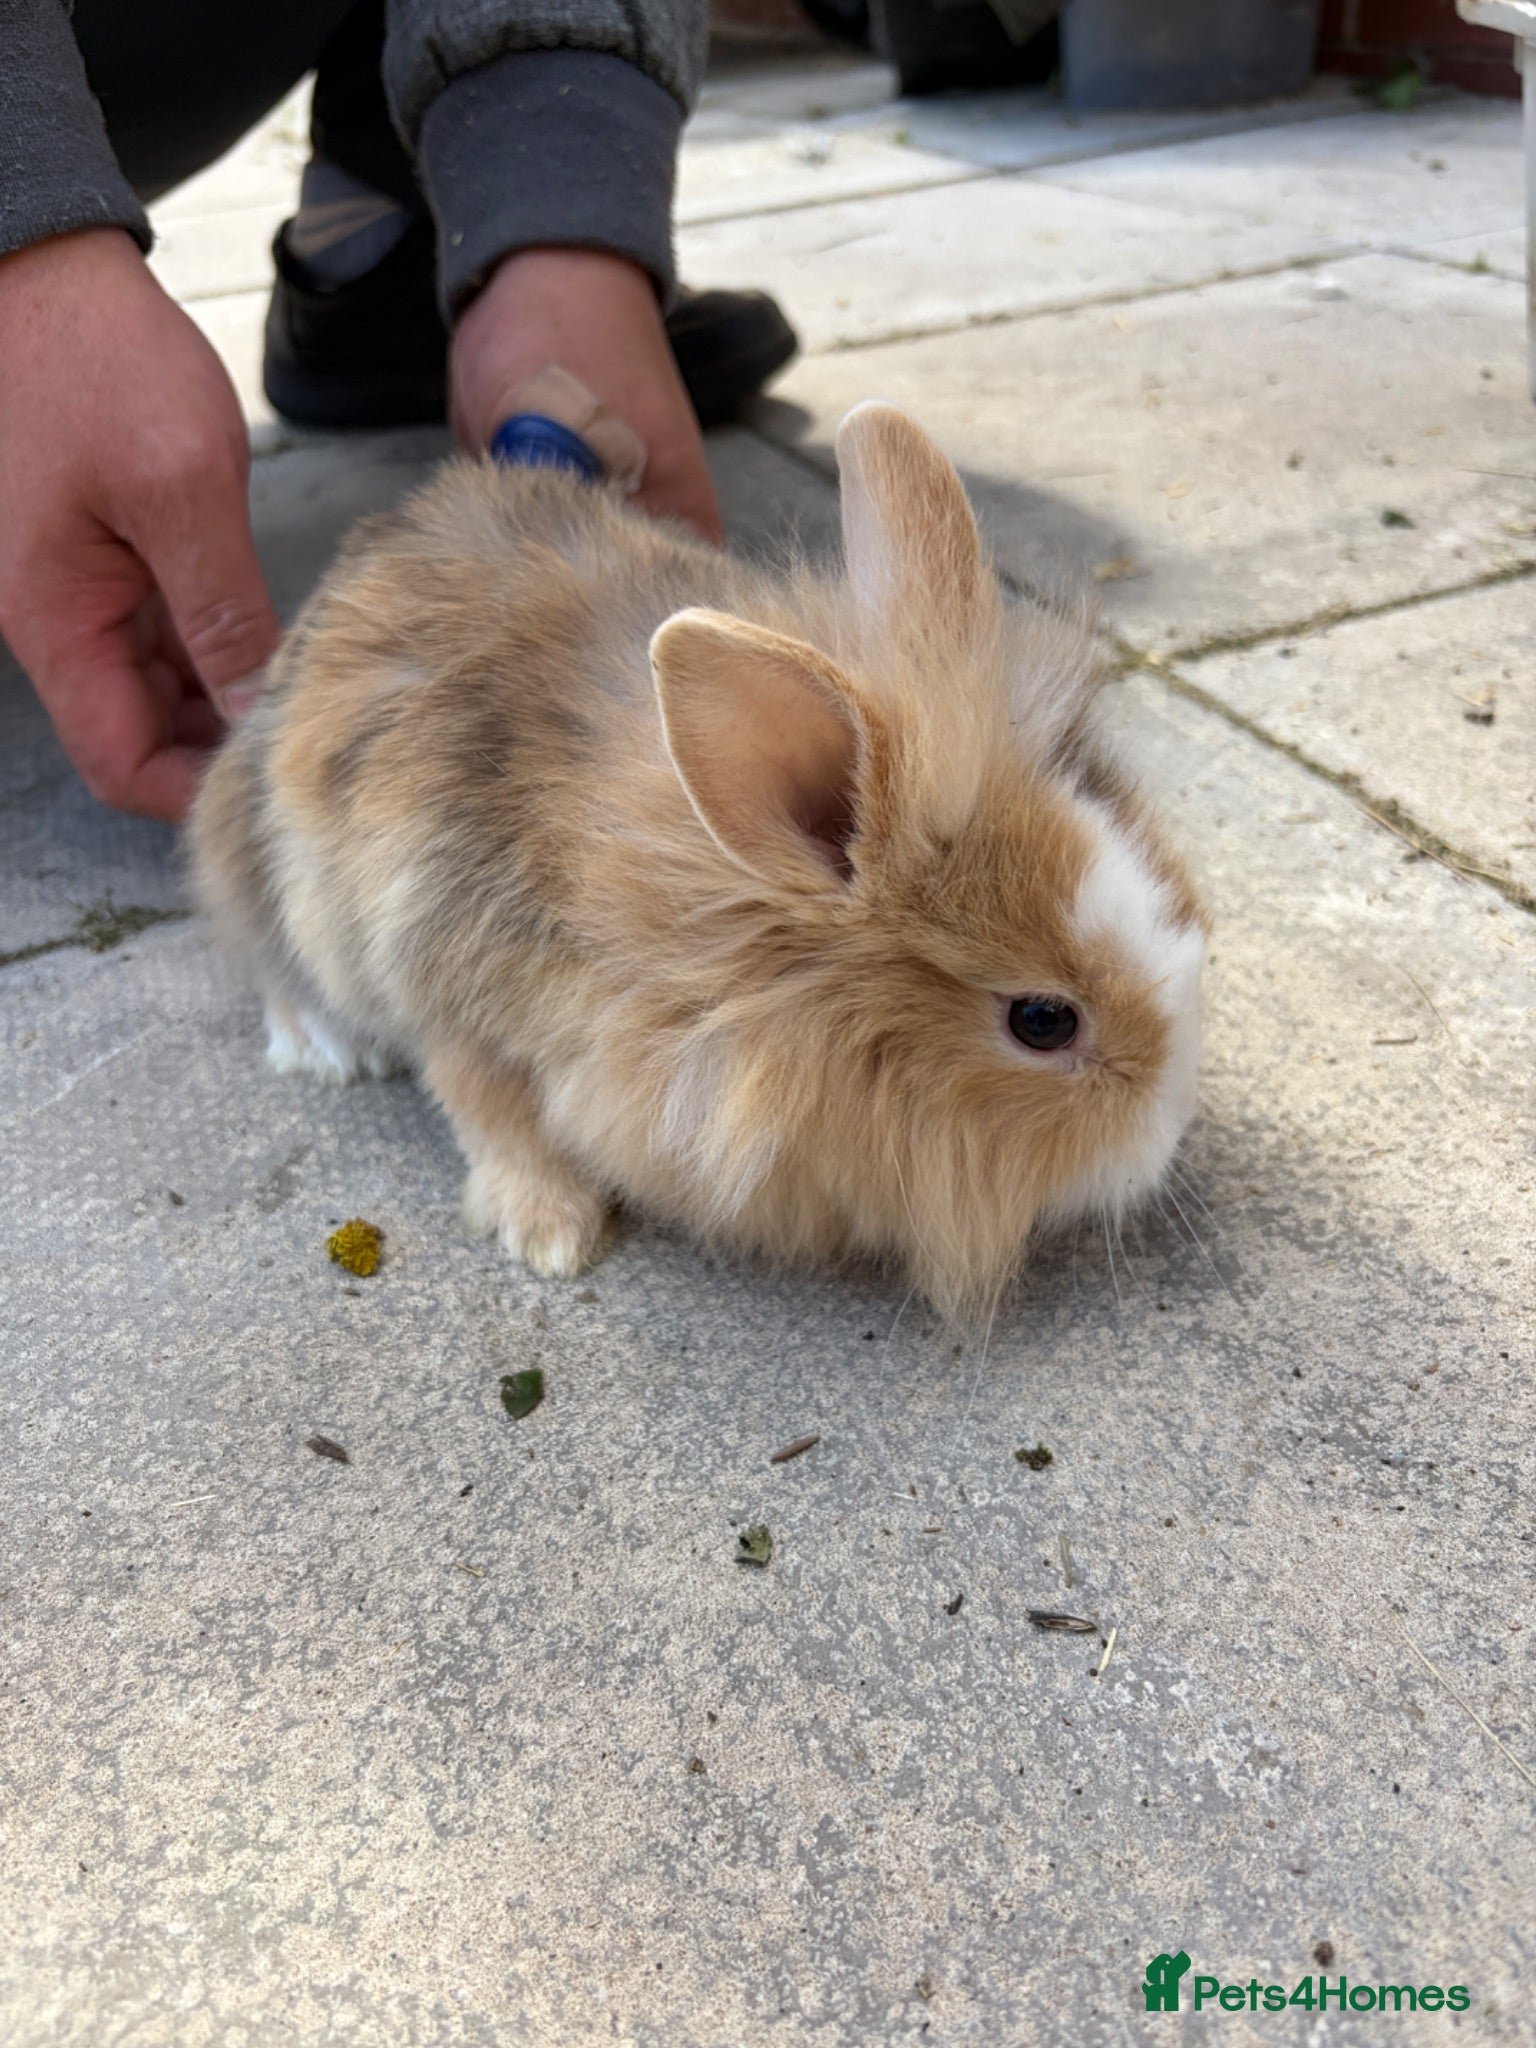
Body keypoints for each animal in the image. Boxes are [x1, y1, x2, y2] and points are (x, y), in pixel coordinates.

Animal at [189, 403, 1207, 1319]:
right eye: (1043, 1021)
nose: (1166, 1139)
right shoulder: (451, 996)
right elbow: (491, 1114)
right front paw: (550, 1234)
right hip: (258, 861)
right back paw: (329, 1050)